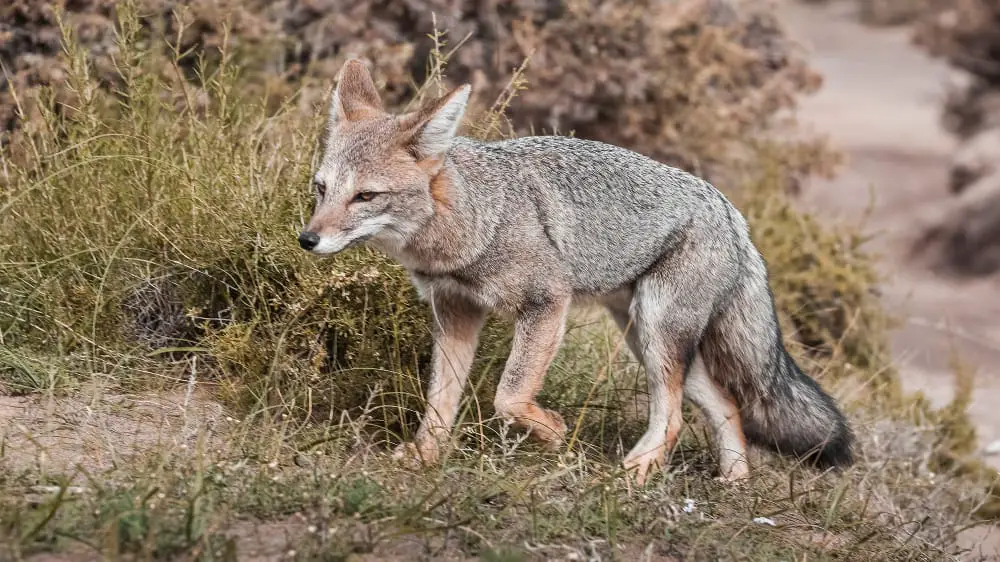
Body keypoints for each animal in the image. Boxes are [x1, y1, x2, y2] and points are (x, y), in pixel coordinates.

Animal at [296, 60, 852, 482]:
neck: (475, 219)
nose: (307, 239)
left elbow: (508, 395)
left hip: (657, 335)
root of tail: (734, 215)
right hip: (646, 339)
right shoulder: (455, 312)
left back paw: (636, 473)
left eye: (365, 196)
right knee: (726, 406)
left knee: (674, 418)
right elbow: (441, 401)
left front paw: (553, 431)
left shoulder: (546, 302)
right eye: (321, 189)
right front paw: (426, 456)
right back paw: (733, 483)